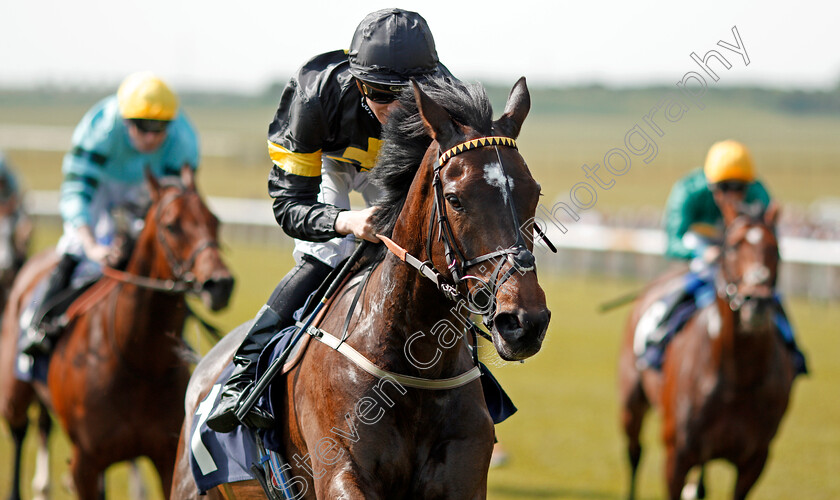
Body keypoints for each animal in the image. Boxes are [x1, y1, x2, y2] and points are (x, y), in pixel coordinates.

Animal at [1, 166, 236, 498]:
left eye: (214, 220)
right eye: (172, 225)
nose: (220, 283)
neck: (137, 357)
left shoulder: (166, 457)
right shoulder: (85, 465)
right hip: (14, 393)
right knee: (19, 430)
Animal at [171, 76, 552, 498]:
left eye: (534, 192)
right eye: (455, 199)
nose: (524, 321)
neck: (416, 365)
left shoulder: (463, 475)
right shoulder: (339, 467)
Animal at [620, 200, 796, 500]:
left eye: (775, 249)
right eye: (734, 246)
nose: (757, 301)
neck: (738, 379)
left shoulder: (754, 460)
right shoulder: (677, 454)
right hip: (631, 401)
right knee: (635, 453)